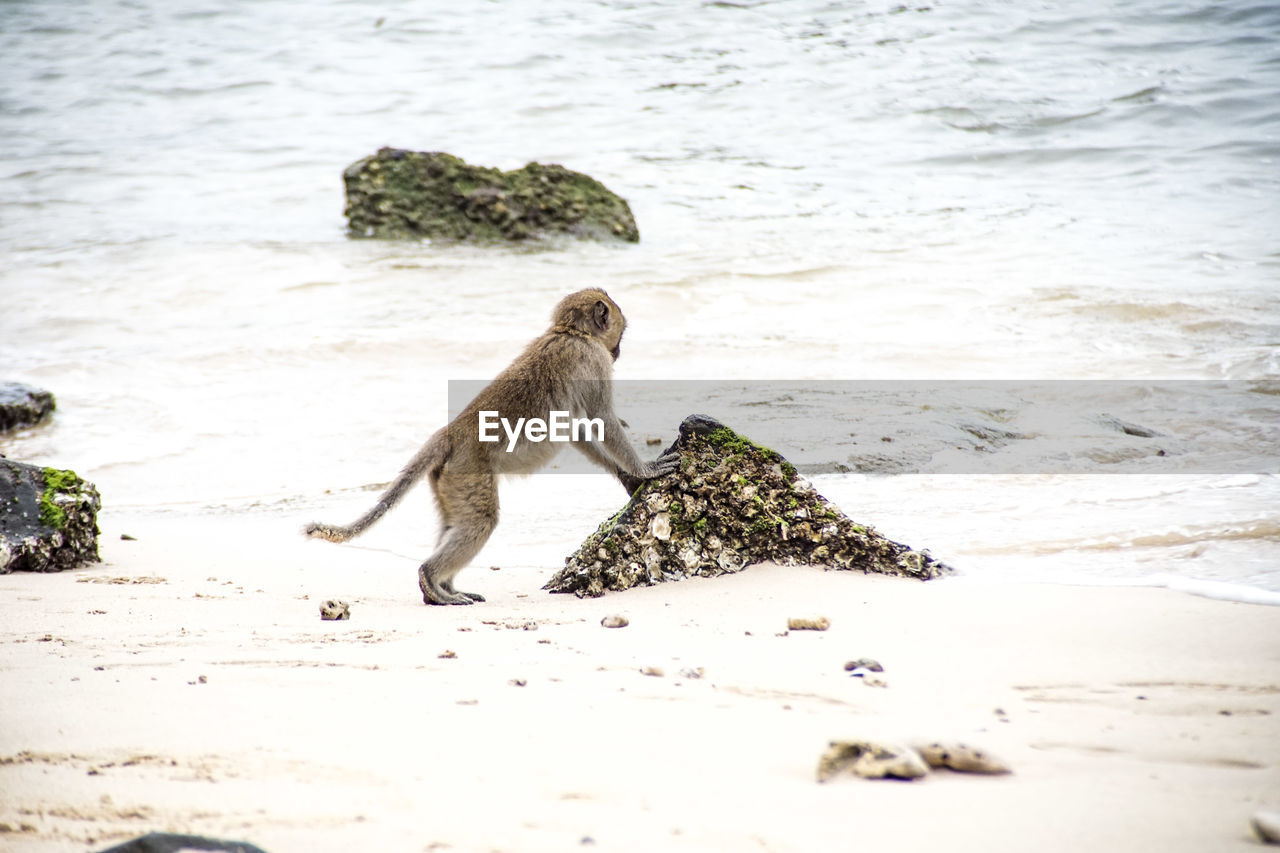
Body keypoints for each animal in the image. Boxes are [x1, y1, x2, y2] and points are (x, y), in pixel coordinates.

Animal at [305, 289, 680, 601]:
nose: (617, 351)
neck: (572, 333)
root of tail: (453, 432)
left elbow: (578, 432)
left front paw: (628, 477)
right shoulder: (591, 362)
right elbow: (602, 420)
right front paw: (644, 469)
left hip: (447, 479)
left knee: (455, 523)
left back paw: (442, 587)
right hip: (468, 471)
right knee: (480, 521)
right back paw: (432, 580)